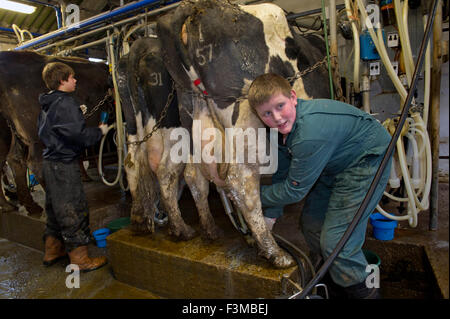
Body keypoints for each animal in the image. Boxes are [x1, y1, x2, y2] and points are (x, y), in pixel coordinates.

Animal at [155, 0, 334, 268]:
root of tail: (195, 8)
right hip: (247, 119)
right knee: (241, 183)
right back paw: (275, 253)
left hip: (186, 119)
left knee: (181, 173)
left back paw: (194, 230)